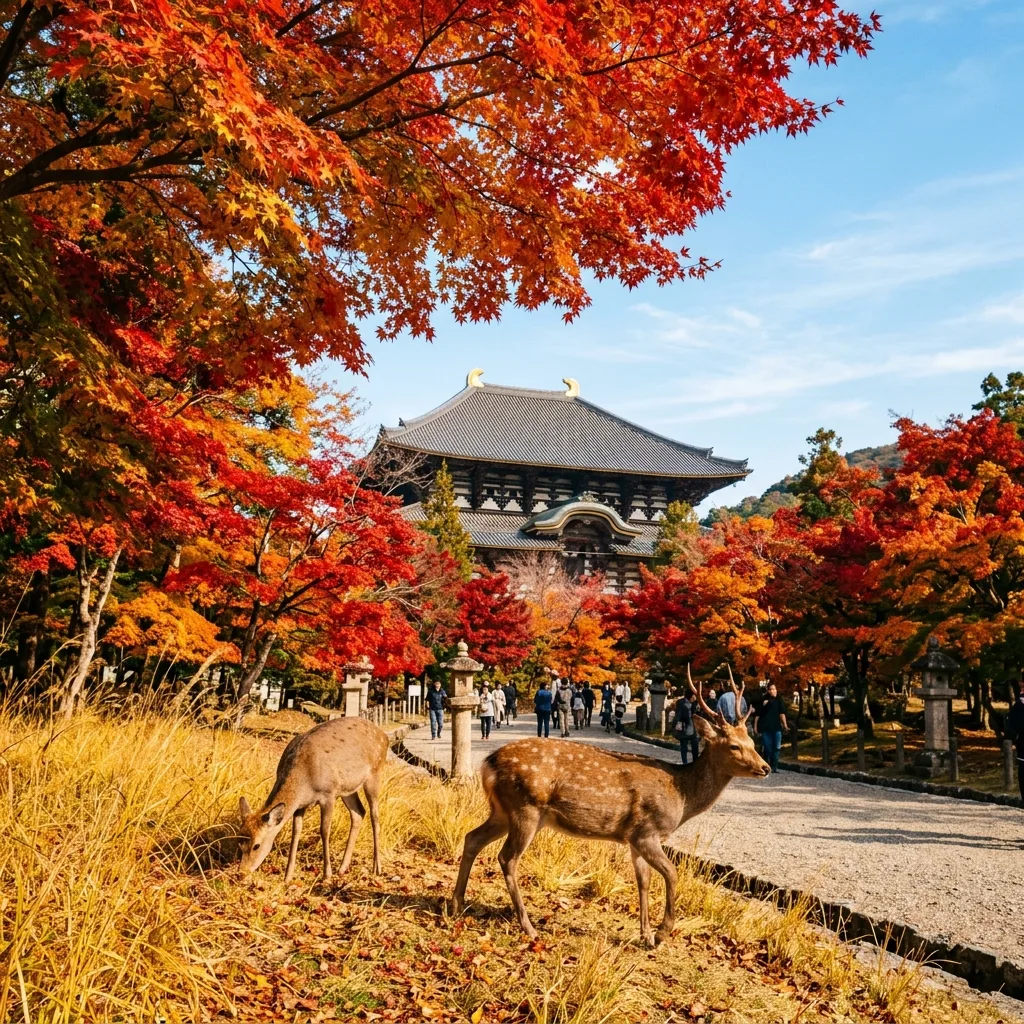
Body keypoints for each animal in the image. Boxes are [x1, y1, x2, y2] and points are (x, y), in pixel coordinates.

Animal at [237, 716, 388, 882]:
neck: (304, 780)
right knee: (359, 812)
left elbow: (324, 831)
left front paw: (326, 875)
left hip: (375, 773)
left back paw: (377, 867)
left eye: (256, 845)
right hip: (348, 789)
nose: (241, 873)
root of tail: (384, 736)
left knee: (375, 817)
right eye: (239, 842)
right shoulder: (300, 805)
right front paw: (288, 876)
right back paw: (343, 867)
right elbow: (296, 833)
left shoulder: (328, 794)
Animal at [452, 665, 769, 947]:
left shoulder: (634, 838)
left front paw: (645, 935)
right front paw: (662, 934)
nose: (765, 767)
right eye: (734, 746)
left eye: (752, 742)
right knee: (507, 857)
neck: (681, 795)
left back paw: (456, 903)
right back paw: (528, 927)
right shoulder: (648, 831)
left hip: (503, 810)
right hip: (525, 807)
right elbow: (671, 874)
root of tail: (488, 764)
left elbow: (643, 881)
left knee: (472, 838)